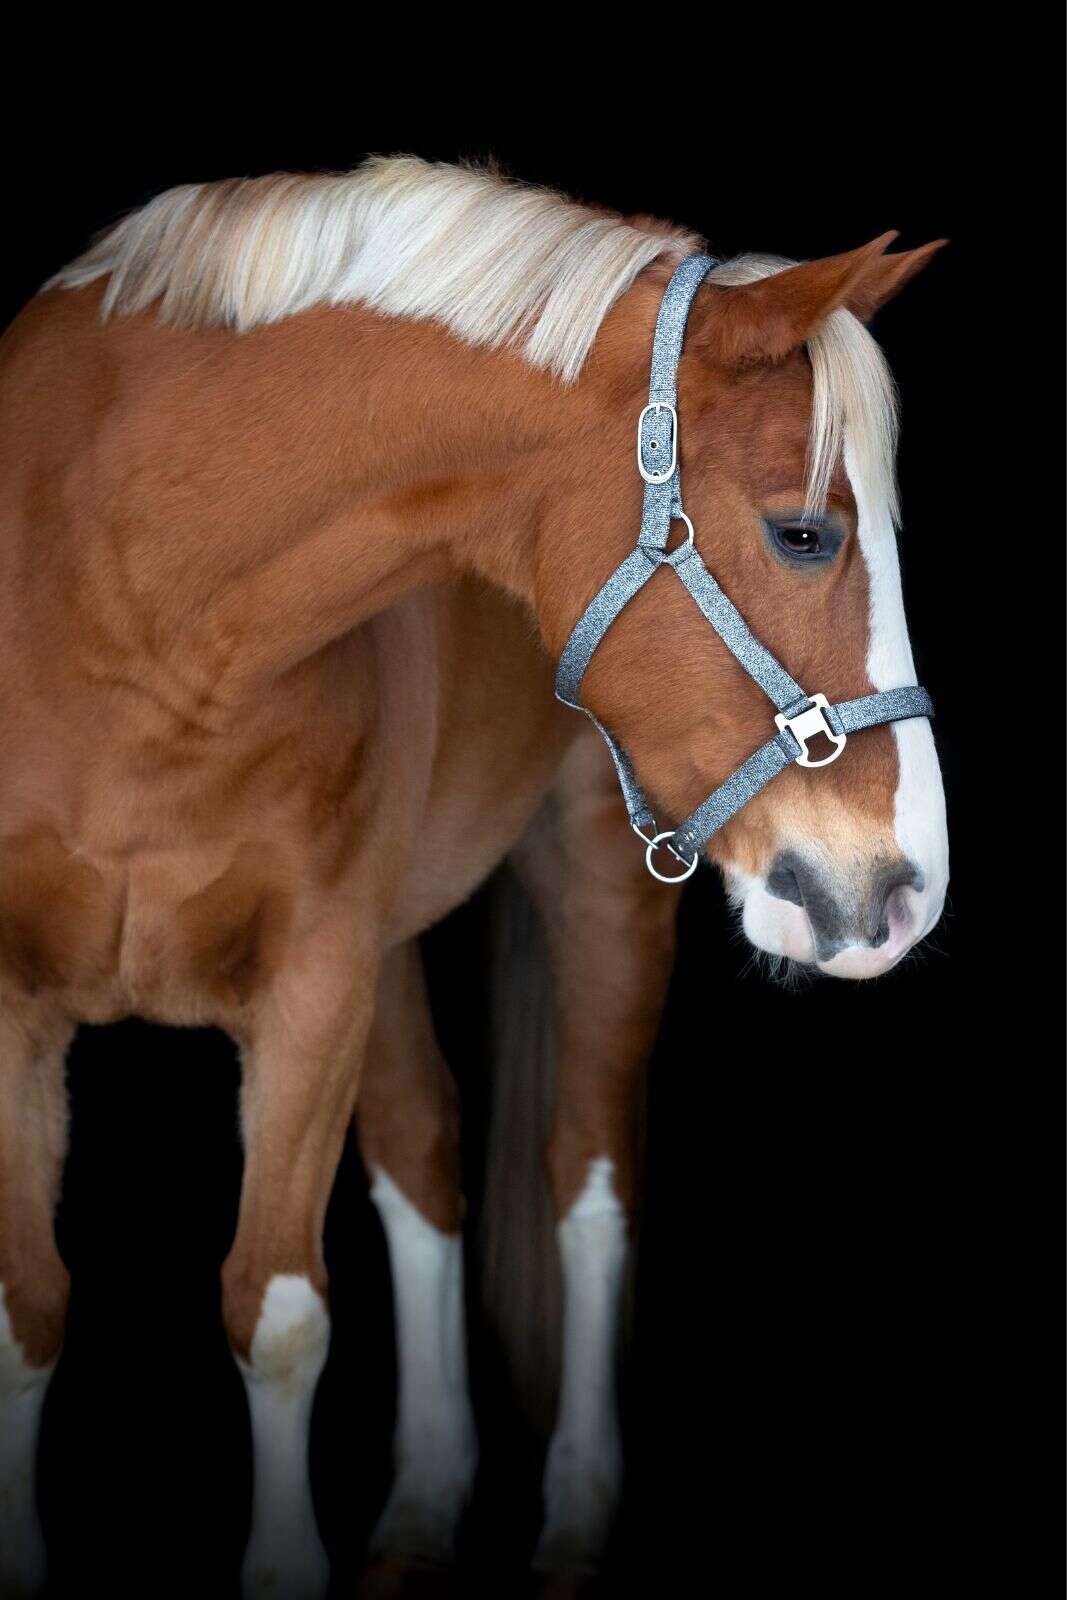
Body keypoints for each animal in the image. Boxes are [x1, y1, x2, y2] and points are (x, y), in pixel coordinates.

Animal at [0, 156, 947, 1597]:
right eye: (801, 533)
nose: (904, 893)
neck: (121, 597)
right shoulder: (20, 1009)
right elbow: (28, 1311)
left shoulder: (313, 978)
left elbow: (277, 1311)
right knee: (424, 1155)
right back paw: (419, 1507)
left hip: (594, 882)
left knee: (585, 1181)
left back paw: (568, 1519)